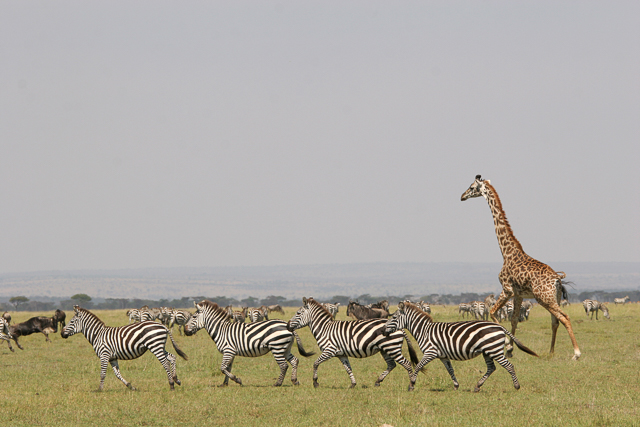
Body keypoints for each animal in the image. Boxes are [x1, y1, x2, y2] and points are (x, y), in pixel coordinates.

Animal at [60, 306, 188, 392]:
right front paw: (131, 386)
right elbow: (117, 374)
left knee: (165, 362)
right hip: (159, 345)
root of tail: (163, 326)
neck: (97, 335)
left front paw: (99, 389)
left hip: (155, 345)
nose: (61, 333)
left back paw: (171, 384)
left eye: (72, 321)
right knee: (172, 357)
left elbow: (102, 373)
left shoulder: (104, 354)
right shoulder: (112, 357)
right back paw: (176, 379)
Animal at [182, 300, 316, 388]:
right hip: (286, 348)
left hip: (277, 347)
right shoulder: (230, 352)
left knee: (284, 365)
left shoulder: (228, 350)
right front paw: (224, 383)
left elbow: (223, 368)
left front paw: (237, 380)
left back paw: (278, 383)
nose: (185, 330)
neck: (221, 330)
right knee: (294, 361)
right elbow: (228, 368)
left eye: (194, 317)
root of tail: (288, 326)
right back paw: (295, 380)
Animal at [286, 298, 418, 392]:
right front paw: (353, 384)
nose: (287, 325)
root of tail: (401, 328)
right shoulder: (341, 354)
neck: (324, 329)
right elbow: (348, 368)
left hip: (392, 348)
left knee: (406, 363)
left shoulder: (329, 350)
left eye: (298, 313)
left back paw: (411, 385)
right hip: (385, 349)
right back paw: (378, 381)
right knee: (391, 365)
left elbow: (315, 363)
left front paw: (315, 382)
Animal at [382, 302, 536, 392]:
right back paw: (477, 386)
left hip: (494, 350)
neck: (424, 330)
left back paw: (516, 386)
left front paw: (411, 384)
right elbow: (450, 370)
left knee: (509, 366)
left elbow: (418, 366)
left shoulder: (430, 352)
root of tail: (500, 326)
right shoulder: (443, 355)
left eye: (394, 318)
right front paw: (456, 385)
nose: (383, 332)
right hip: (487, 351)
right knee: (491, 368)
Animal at [460, 175, 580, 362]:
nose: (462, 196)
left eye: (472, 187)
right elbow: (514, 319)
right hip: (554, 297)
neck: (506, 252)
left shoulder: (507, 289)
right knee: (555, 321)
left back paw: (576, 353)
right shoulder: (518, 294)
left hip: (544, 298)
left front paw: (506, 346)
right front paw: (510, 349)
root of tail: (558, 280)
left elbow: (493, 313)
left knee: (564, 317)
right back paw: (551, 352)